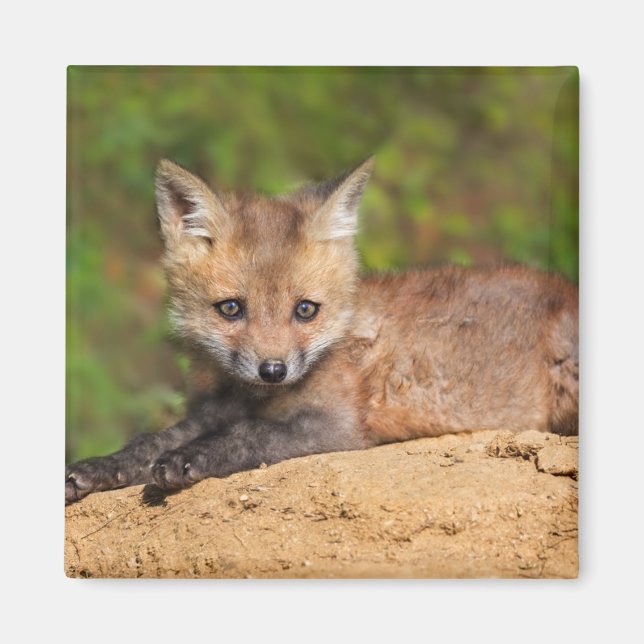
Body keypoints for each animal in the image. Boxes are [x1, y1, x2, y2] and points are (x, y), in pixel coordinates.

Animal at [65, 157, 579, 504]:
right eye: (230, 309)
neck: (253, 397)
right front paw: (100, 467)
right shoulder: (211, 410)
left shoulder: (336, 426)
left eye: (305, 310)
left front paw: (188, 459)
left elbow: (249, 435)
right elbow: (148, 440)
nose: (273, 370)